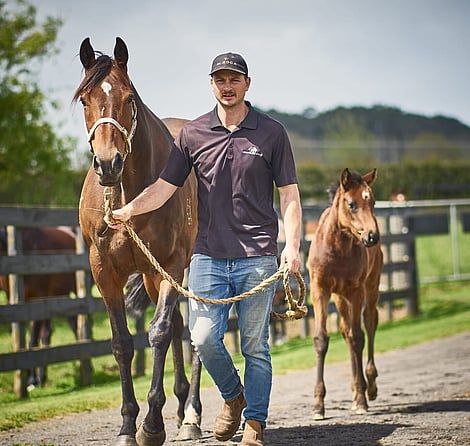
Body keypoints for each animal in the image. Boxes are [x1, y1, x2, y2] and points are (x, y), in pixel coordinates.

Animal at [0, 226, 78, 388]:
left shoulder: (37, 300)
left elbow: (33, 340)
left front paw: (31, 380)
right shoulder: (15, 302)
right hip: (59, 296)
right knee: (58, 329)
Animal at [72, 37, 200, 446]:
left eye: (129, 98)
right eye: (85, 99)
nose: (107, 163)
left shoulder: (172, 265)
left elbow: (157, 333)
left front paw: (152, 424)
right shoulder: (104, 271)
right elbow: (121, 343)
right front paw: (128, 424)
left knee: (192, 329)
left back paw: (192, 414)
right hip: (150, 275)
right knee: (179, 325)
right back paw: (181, 408)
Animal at [306, 168, 383, 420]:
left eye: (373, 201)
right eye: (351, 203)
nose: (372, 236)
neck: (337, 249)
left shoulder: (356, 290)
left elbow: (359, 337)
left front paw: (361, 399)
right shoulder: (320, 291)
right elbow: (322, 339)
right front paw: (318, 405)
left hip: (370, 286)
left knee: (369, 323)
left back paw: (369, 386)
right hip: (340, 298)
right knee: (346, 331)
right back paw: (355, 387)